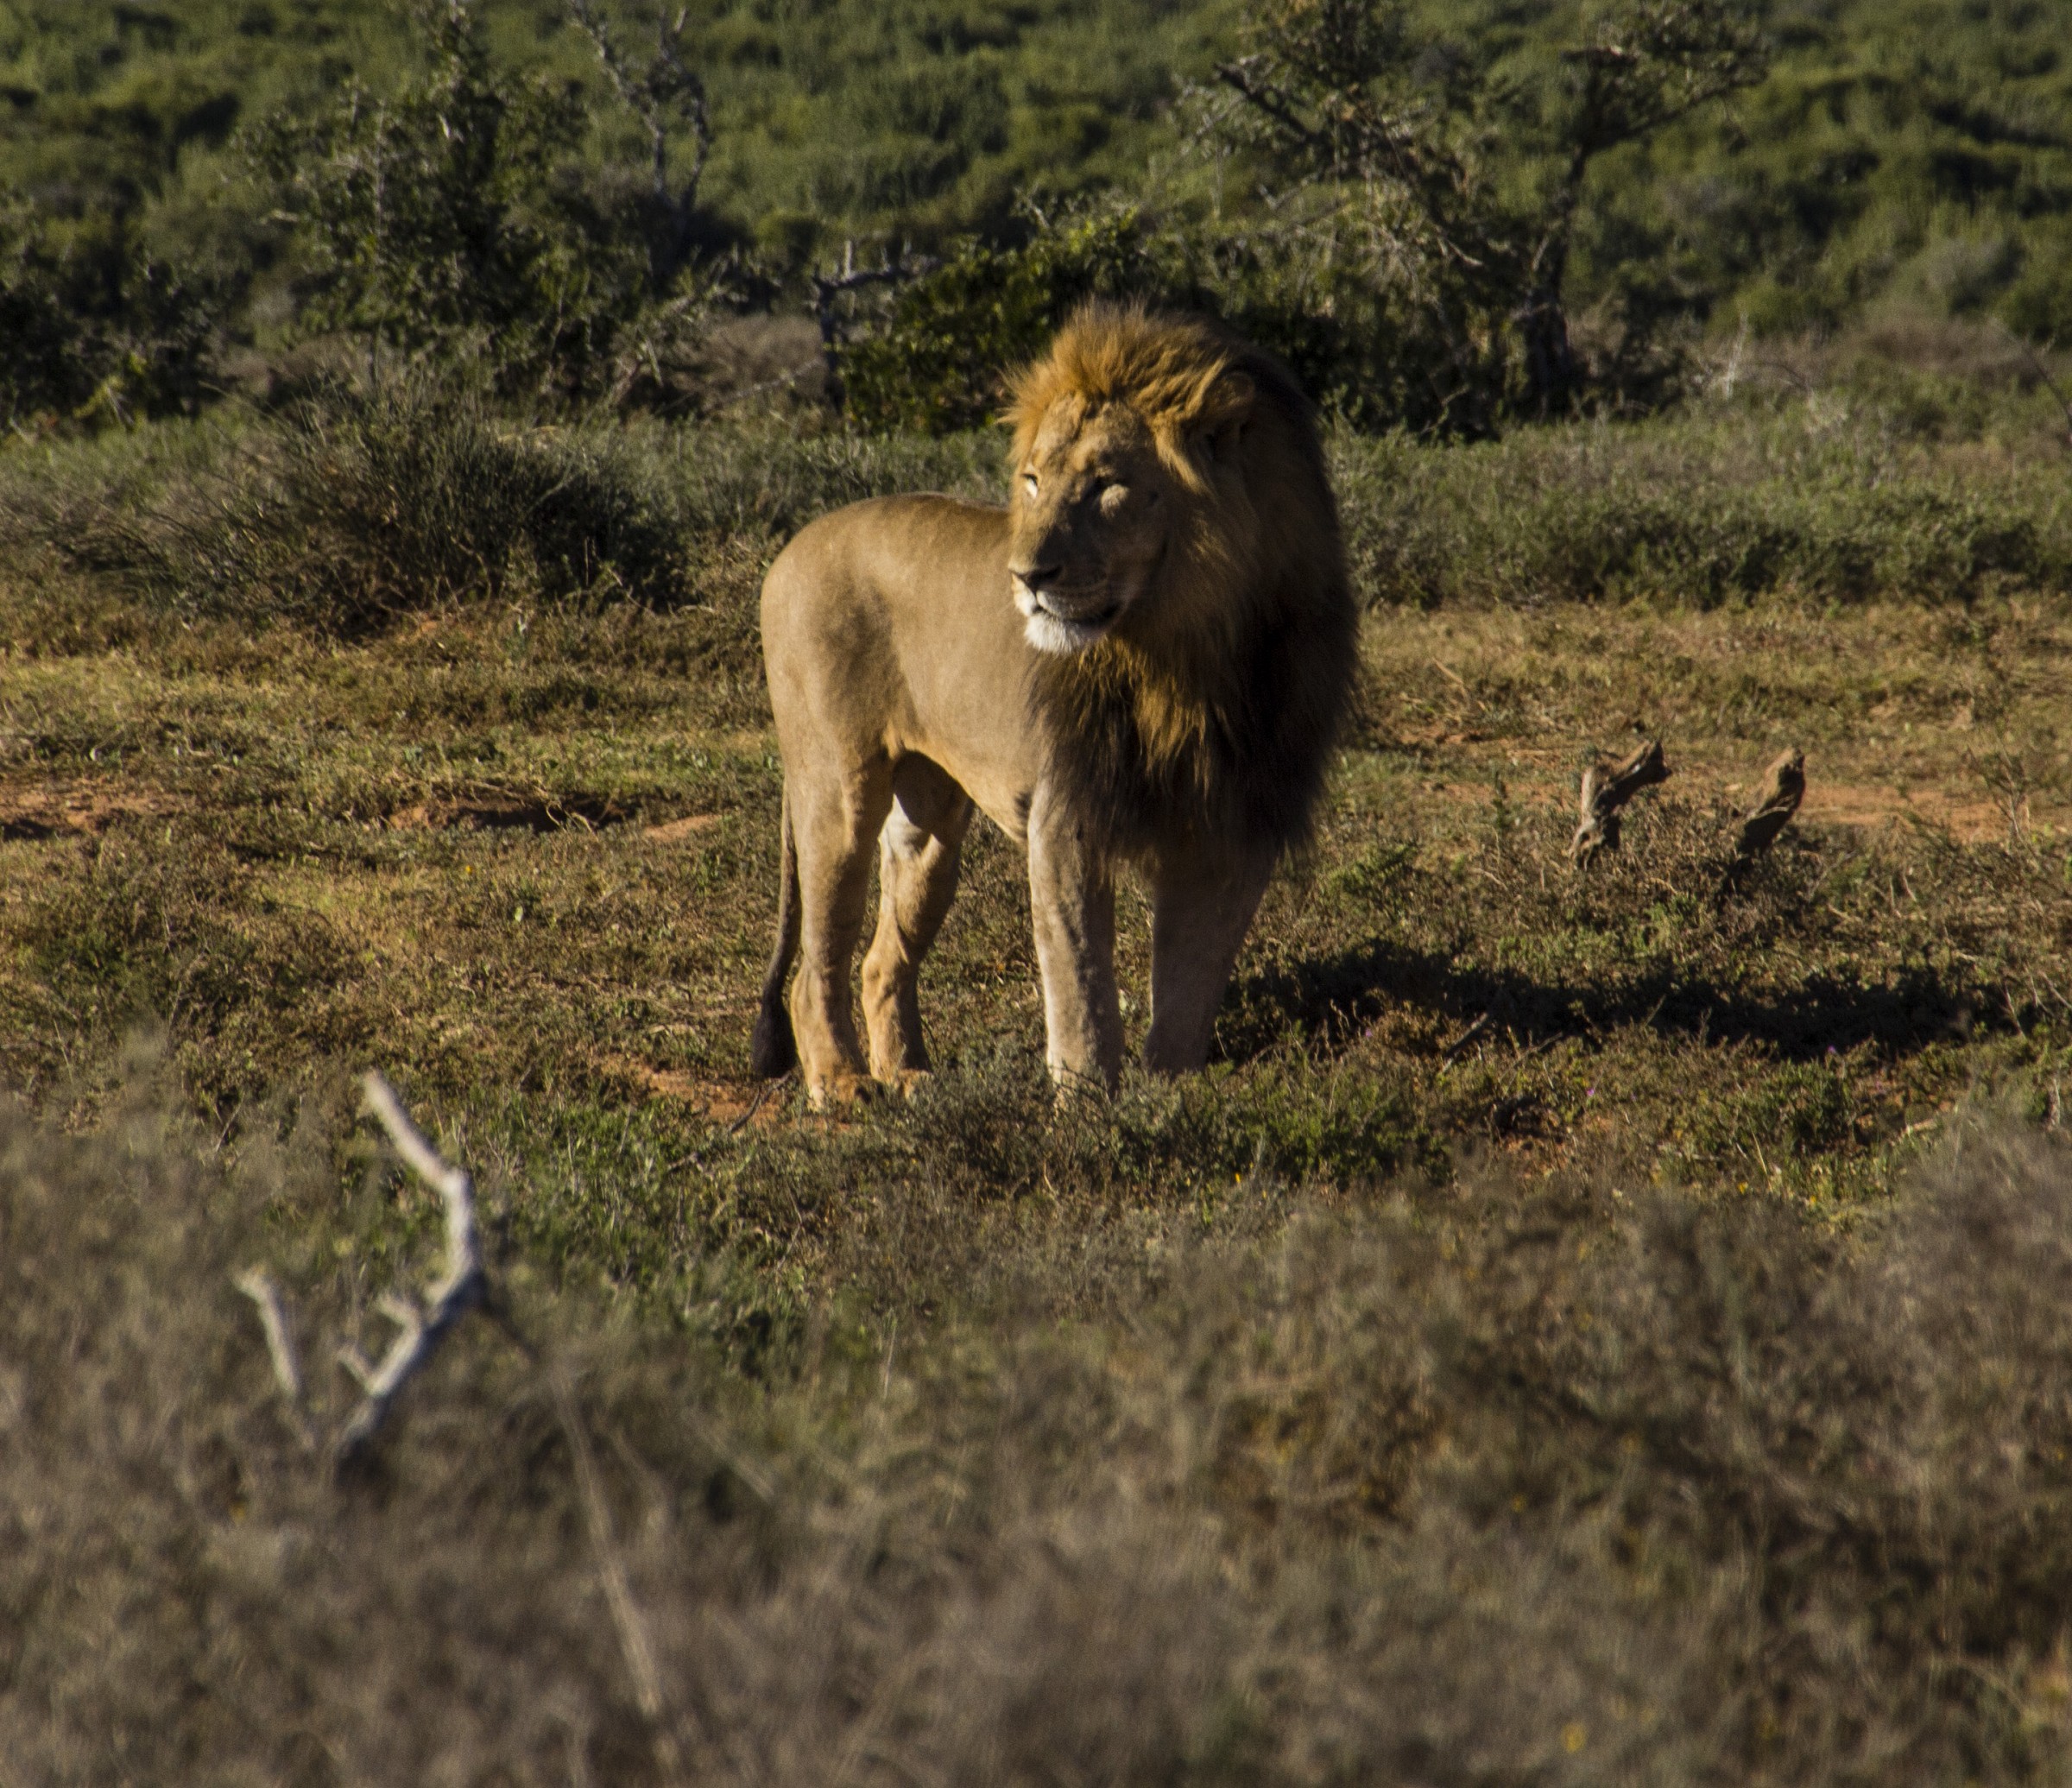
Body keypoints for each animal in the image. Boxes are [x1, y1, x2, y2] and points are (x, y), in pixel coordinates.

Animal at [746, 300, 1359, 1094]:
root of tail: (787, 549)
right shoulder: (1068, 810)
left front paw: (1171, 1095)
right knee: (812, 967)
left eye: (1107, 485)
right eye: (1033, 481)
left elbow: (1190, 988)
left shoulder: (1235, 821)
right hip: (836, 791)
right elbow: (1080, 985)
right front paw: (1089, 1104)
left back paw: (910, 1077)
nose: (1026, 575)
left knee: (883, 957)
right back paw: (844, 1087)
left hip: (929, 826)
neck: (1187, 655)